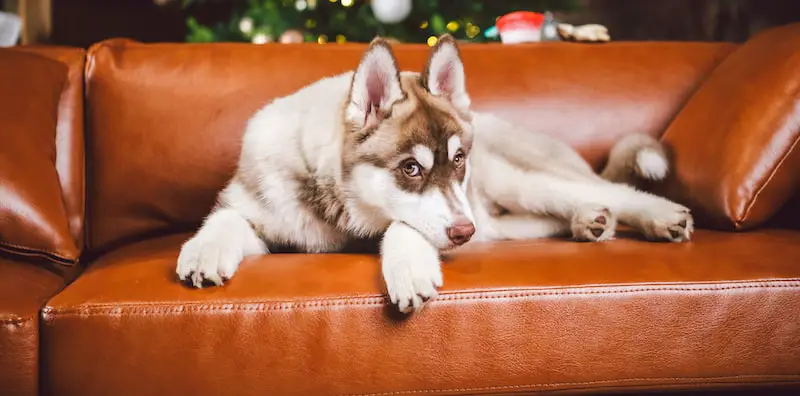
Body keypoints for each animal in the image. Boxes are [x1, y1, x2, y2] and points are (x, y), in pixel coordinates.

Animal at [177, 34, 692, 312]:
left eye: (458, 160)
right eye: (411, 168)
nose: (463, 233)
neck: (329, 201)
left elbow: (404, 225)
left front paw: (408, 267)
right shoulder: (266, 213)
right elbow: (227, 217)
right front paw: (204, 249)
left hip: (514, 180)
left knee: (606, 190)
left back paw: (655, 216)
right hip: (500, 217)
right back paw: (590, 221)